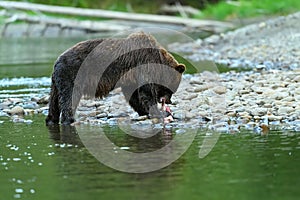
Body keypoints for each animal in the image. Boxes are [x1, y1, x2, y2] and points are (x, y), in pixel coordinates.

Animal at [45, 31, 185, 125]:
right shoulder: (144, 64)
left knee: (54, 101)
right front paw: (160, 112)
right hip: (72, 75)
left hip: (57, 82)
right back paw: (69, 119)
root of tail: (57, 61)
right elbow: (146, 93)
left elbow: (134, 95)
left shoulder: (130, 77)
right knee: (69, 98)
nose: (169, 101)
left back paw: (51, 119)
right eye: (172, 88)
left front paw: (145, 112)